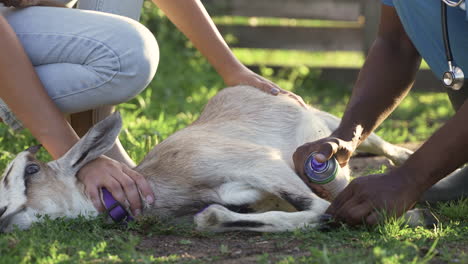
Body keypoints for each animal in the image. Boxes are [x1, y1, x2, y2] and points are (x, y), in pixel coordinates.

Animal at [1, 85, 430, 232]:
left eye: (31, 169)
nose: (5, 217)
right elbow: (210, 218)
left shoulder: (265, 165)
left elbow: (325, 204)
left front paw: (410, 215)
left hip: (329, 129)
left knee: (379, 144)